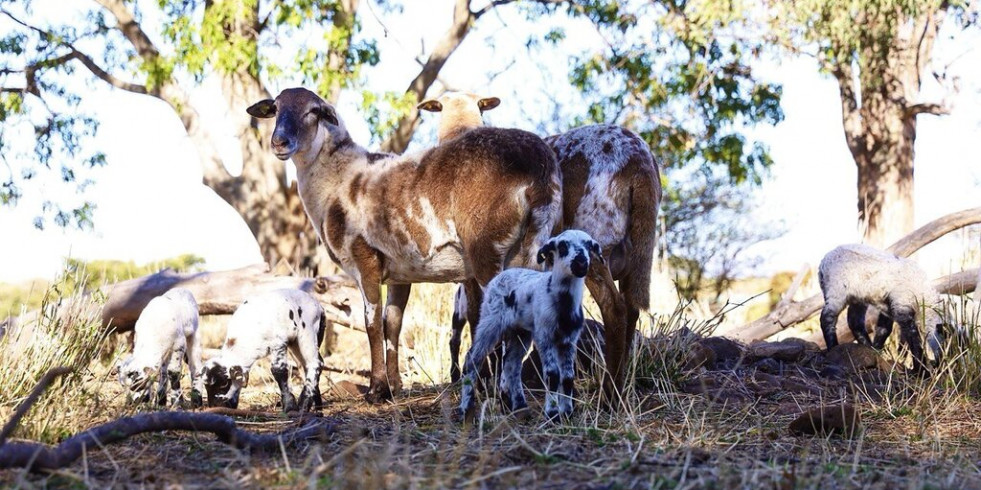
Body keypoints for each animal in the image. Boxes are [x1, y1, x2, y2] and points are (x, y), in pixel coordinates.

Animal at [245, 88, 564, 402]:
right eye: (275, 108)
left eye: (313, 111)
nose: (279, 142)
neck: (335, 181)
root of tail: (540, 169)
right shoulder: (400, 271)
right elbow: (393, 324)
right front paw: (394, 386)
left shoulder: (365, 258)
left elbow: (372, 323)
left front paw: (376, 389)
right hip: (531, 245)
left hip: (487, 247)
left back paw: (498, 389)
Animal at [418, 94, 664, 396]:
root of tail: (639, 160)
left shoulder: (473, 268)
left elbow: (478, 317)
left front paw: (484, 379)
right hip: (637, 247)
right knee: (631, 308)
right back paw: (618, 385)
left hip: (592, 243)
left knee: (614, 308)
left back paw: (607, 394)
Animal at [458, 228, 596, 420]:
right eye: (562, 246)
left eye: (589, 246)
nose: (581, 262)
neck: (562, 302)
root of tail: (501, 275)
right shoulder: (544, 336)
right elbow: (552, 375)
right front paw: (552, 414)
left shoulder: (569, 339)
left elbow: (568, 376)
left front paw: (567, 413)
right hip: (490, 322)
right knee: (473, 358)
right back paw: (465, 409)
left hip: (520, 331)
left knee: (511, 364)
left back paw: (520, 407)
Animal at [816, 243, 944, 374]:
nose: (942, 364)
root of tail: (823, 263)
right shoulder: (902, 305)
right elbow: (913, 336)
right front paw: (922, 369)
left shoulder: (890, 308)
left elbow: (884, 329)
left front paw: (877, 349)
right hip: (837, 291)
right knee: (827, 318)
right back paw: (833, 346)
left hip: (857, 297)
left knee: (855, 323)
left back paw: (868, 348)